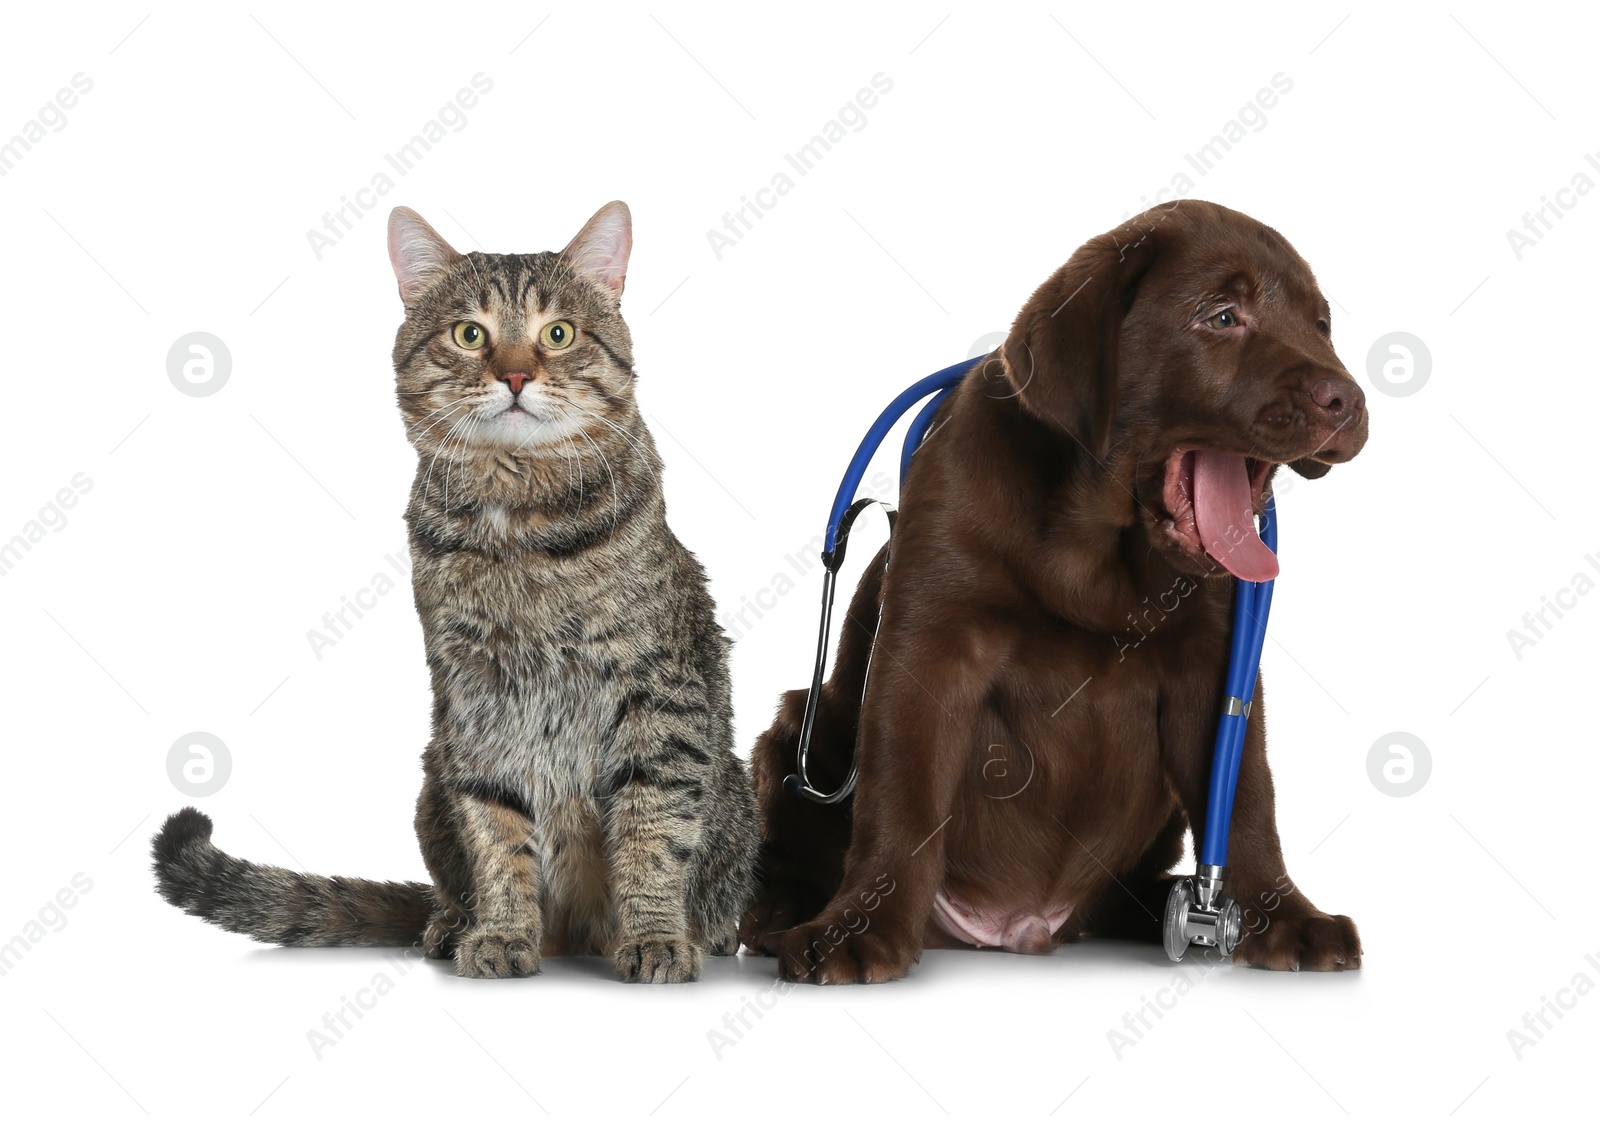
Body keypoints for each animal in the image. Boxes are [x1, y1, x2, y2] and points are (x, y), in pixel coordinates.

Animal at [152, 202, 758, 979]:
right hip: (431, 778)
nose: (517, 375)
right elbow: (496, 832)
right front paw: (501, 931)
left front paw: (653, 935)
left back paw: (704, 932)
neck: (519, 523)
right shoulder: (474, 698)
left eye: (558, 334)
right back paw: (450, 924)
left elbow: (653, 829)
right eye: (470, 334)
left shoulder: (658, 696)